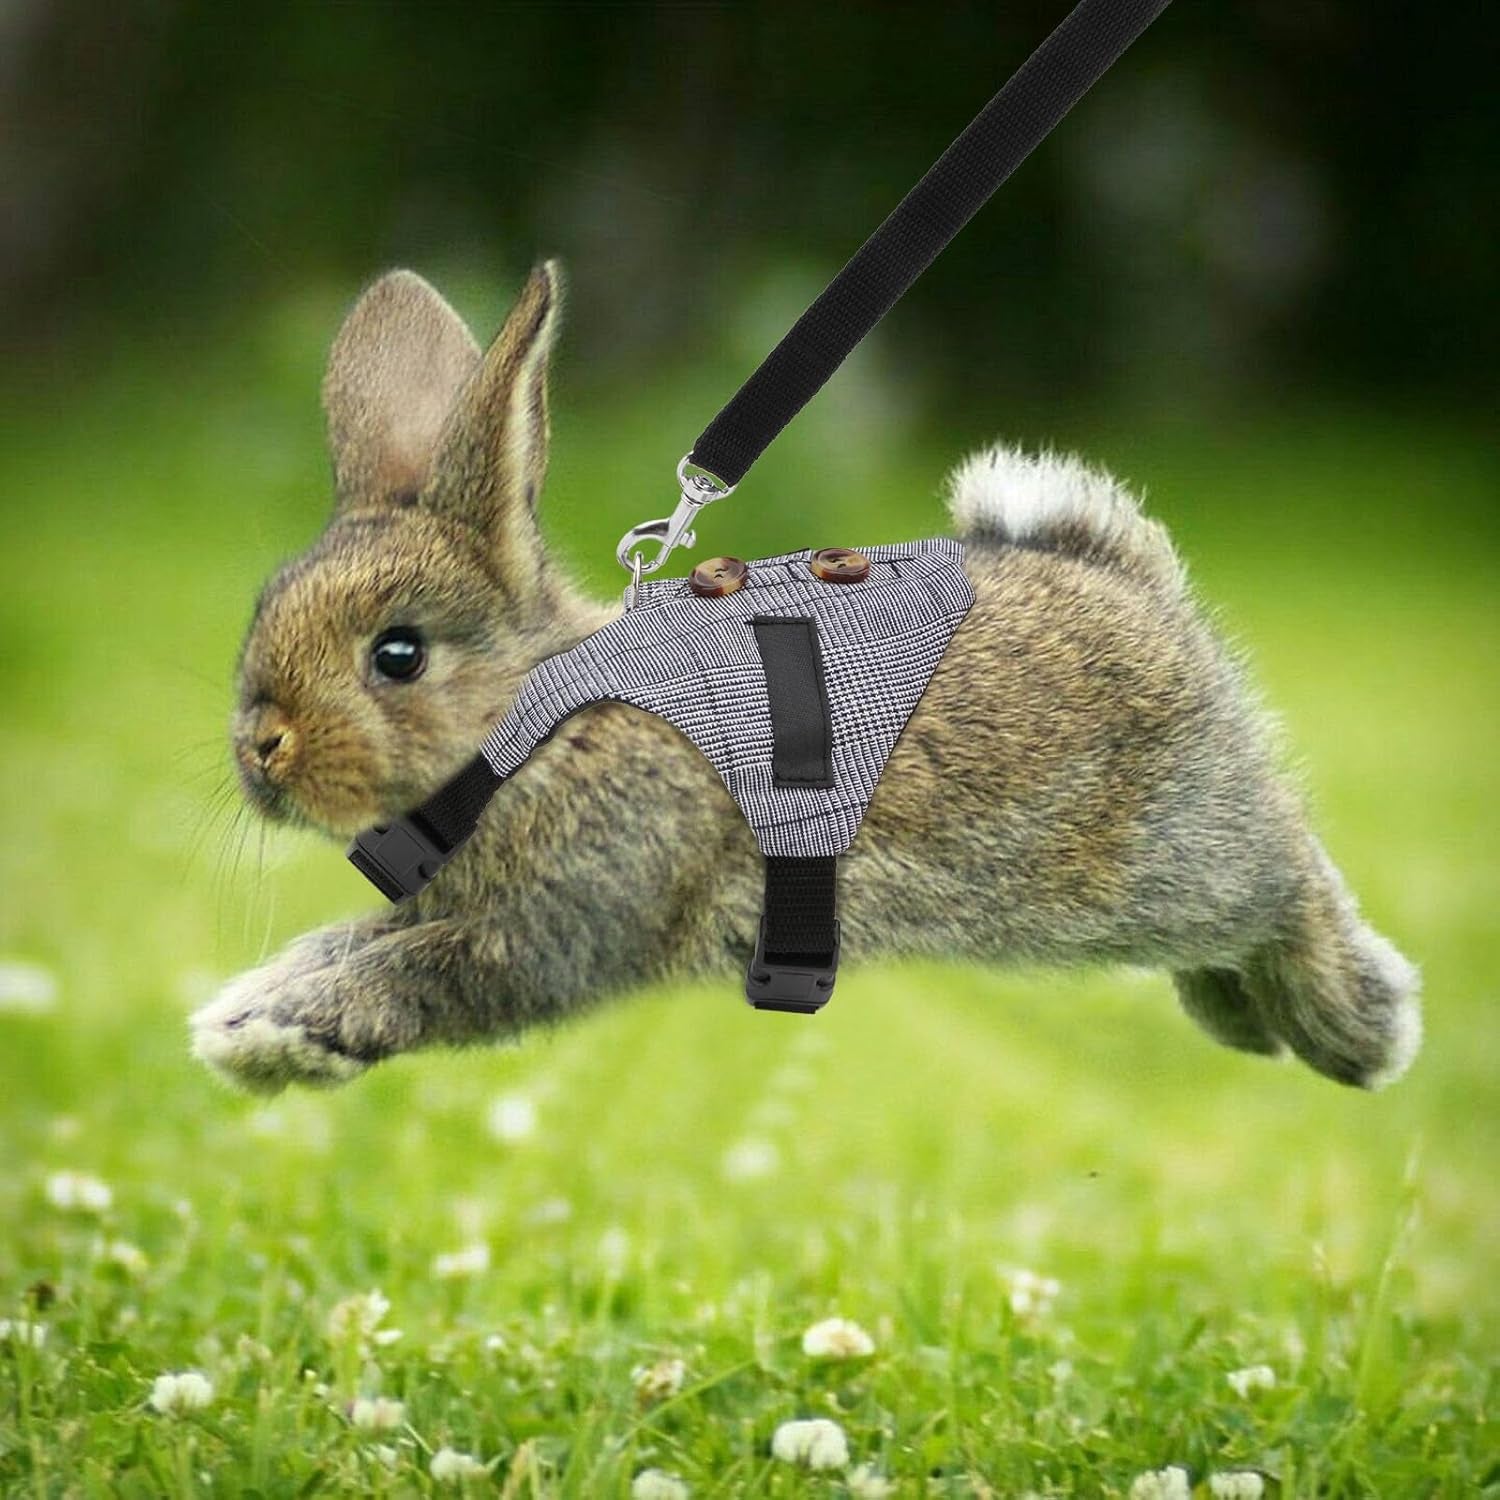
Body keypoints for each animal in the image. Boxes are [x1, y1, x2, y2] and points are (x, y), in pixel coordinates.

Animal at [190, 263, 1422, 1095]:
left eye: (397, 655)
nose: (260, 749)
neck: (536, 724)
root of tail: (1136, 589)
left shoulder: (562, 918)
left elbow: (421, 977)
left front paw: (264, 1038)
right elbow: (354, 944)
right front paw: (247, 1015)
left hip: (1173, 860)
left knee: (1290, 881)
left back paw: (1359, 1025)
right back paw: (1244, 1019)